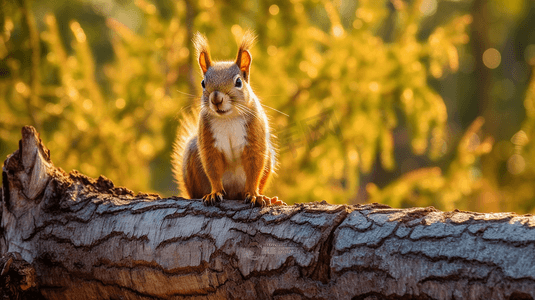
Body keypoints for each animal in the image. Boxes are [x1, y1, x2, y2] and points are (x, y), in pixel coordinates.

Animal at [174, 31, 286, 207]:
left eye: (238, 82)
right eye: (203, 83)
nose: (216, 99)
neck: (228, 118)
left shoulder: (255, 137)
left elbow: (254, 167)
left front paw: (254, 195)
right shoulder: (208, 141)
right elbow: (212, 168)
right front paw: (214, 193)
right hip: (192, 154)